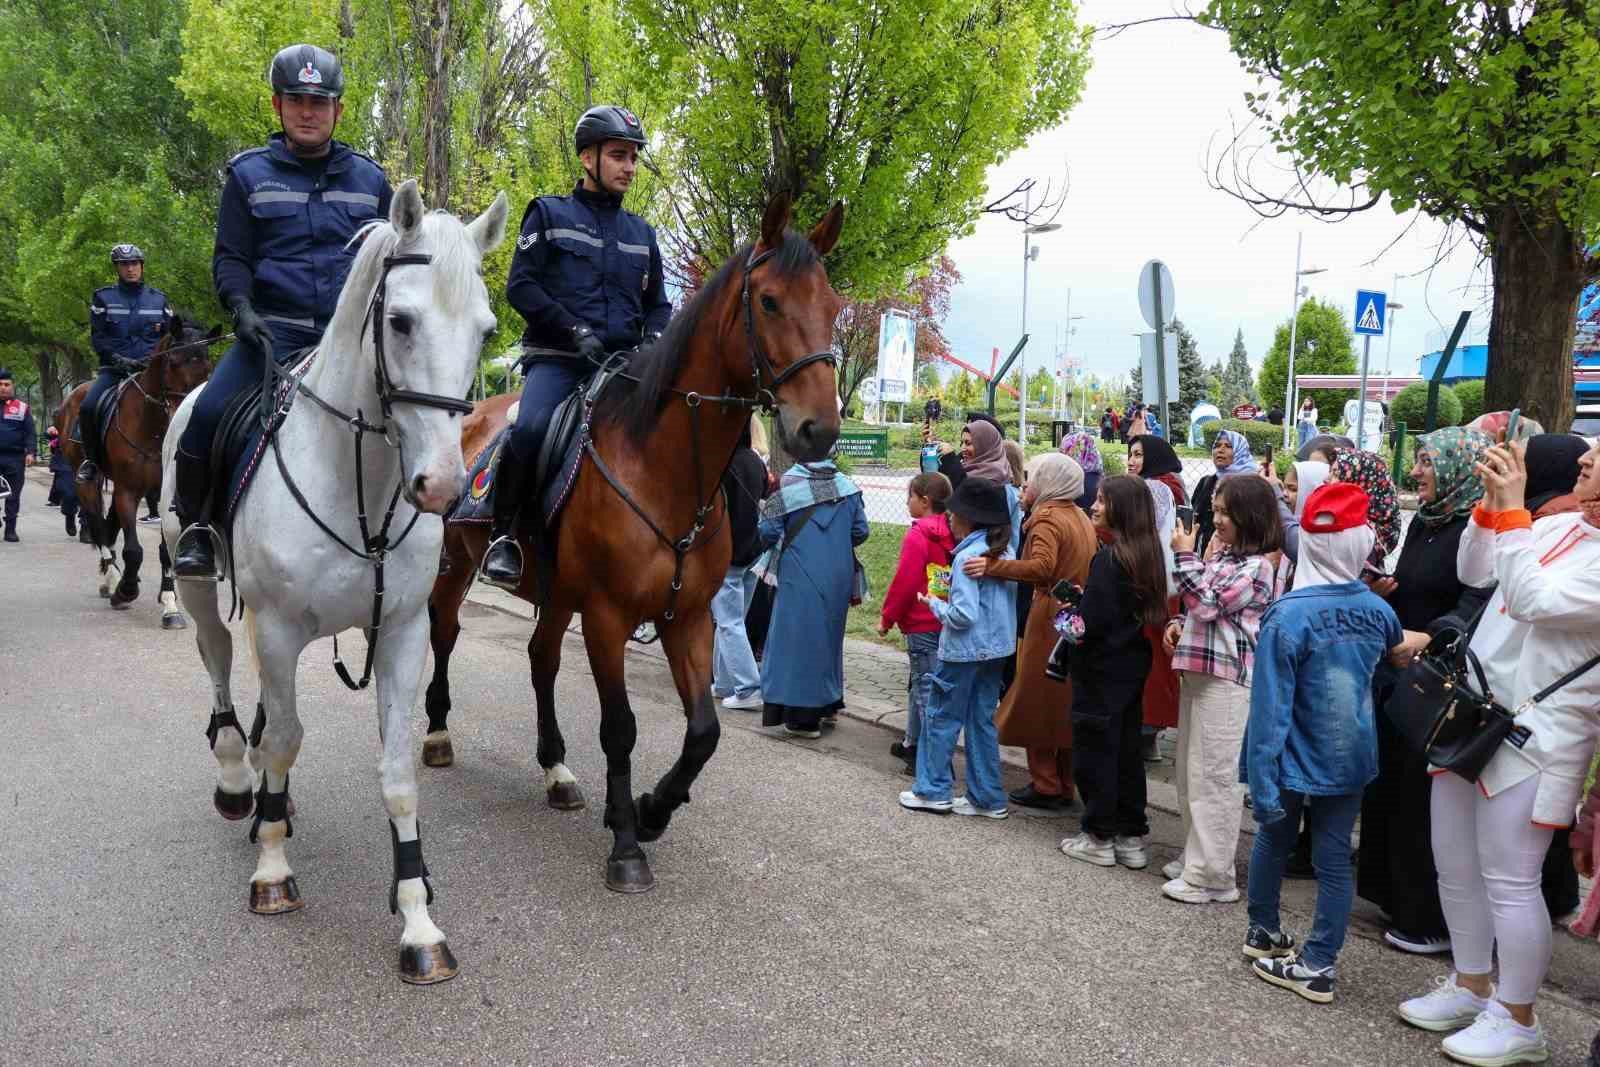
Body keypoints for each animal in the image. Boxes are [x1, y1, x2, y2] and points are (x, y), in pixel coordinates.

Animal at [60, 319, 219, 617]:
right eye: (173, 362)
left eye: (208, 365)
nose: (186, 416)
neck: (153, 428)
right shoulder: (128, 491)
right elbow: (134, 550)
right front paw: (126, 589)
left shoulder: (163, 495)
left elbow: (165, 550)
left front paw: (169, 602)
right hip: (86, 480)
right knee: (98, 525)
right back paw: (112, 579)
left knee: (109, 526)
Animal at [162, 181, 505, 985]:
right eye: (401, 320)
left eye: (485, 330)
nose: (443, 486)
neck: (362, 486)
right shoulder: (281, 627)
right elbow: (286, 740)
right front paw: (272, 871)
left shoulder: (405, 631)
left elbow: (396, 768)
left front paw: (418, 922)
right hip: (201, 593)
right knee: (222, 671)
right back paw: (239, 786)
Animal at [425, 194, 851, 895]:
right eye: (768, 301)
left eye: (835, 303)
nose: (819, 429)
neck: (662, 469)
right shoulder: (607, 618)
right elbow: (620, 729)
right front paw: (627, 843)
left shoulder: (689, 618)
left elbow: (703, 732)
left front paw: (653, 810)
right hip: (456, 563)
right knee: (444, 630)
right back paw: (436, 733)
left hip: (557, 592)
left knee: (541, 659)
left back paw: (556, 771)